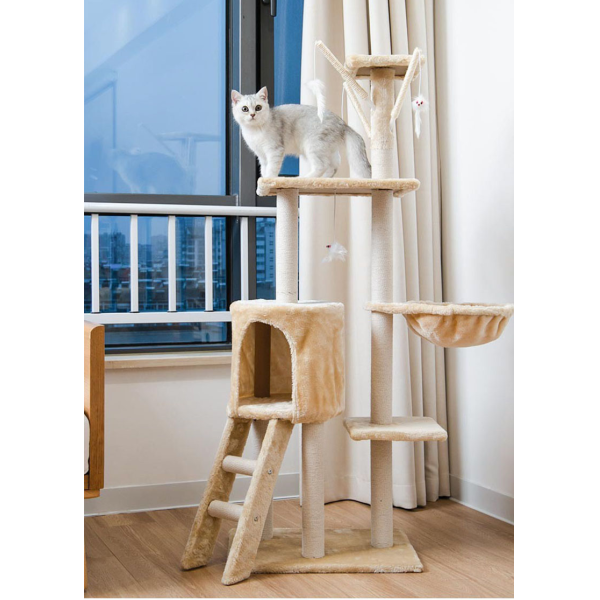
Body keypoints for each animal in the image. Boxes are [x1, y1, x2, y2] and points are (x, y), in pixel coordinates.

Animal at [231, 87, 371, 180]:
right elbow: (264, 168)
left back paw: (305, 178)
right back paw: (324, 179)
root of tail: (343, 123)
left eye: (258, 107)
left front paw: (269, 180)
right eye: (245, 109)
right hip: (327, 149)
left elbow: (271, 168)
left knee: (321, 166)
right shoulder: (262, 155)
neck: (255, 131)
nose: (252, 115)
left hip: (313, 146)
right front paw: (263, 181)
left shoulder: (274, 150)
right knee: (333, 166)